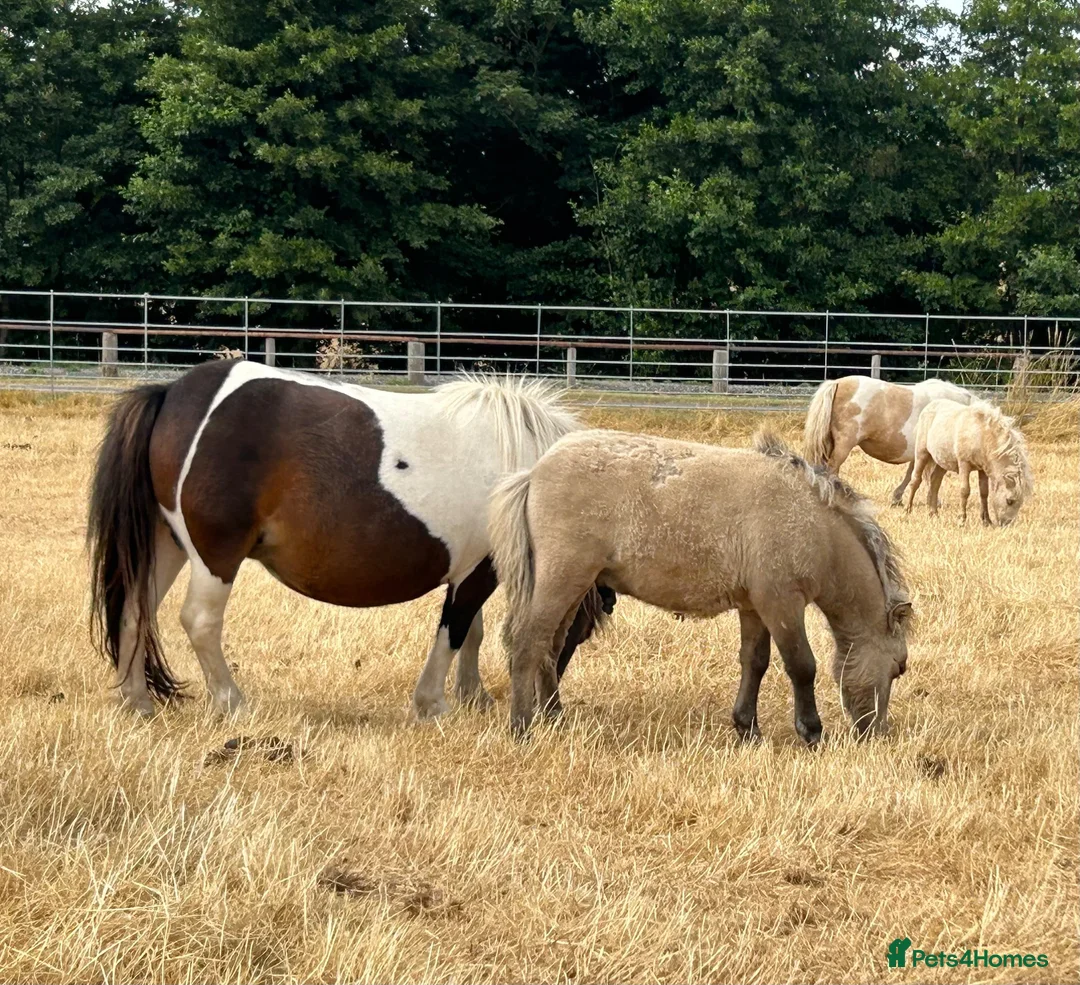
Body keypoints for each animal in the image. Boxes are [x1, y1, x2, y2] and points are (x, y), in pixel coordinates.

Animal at [87, 360, 612, 719]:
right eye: (578, 631)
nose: (552, 708)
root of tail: (172, 393)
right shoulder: (477, 570)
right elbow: (454, 630)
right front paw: (434, 705)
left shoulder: (473, 568)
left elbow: (472, 632)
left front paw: (473, 696)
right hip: (215, 555)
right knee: (199, 621)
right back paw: (232, 702)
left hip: (168, 546)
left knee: (135, 611)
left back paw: (136, 702)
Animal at [489, 429, 913, 742]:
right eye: (898, 668)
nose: (878, 733)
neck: (811, 521)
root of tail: (534, 473)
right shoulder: (781, 604)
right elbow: (801, 666)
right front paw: (810, 731)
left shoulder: (754, 607)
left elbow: (755, 662)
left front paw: (747, 727)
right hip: (561, 580)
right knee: (528, 642)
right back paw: (521, 727)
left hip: (575, 588)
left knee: (551, 646)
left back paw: (554, 717)